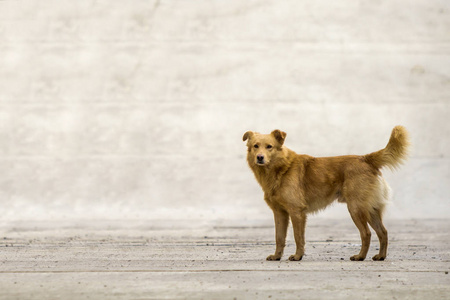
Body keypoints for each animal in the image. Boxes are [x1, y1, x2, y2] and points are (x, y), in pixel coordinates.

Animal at [244, 125, 410, 262]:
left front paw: (298, 256)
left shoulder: (297, 212)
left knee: (367, 233)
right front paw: (277, 256)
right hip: (371, 210)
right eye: (255, 146)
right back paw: (381, 256)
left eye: (269, 147)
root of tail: (366, 159)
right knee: (383, 232)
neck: (281, 168)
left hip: (356, 209)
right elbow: (279, 237)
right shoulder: (280, 213)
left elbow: (298, 237)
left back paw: (360, 256)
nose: (259, 157)